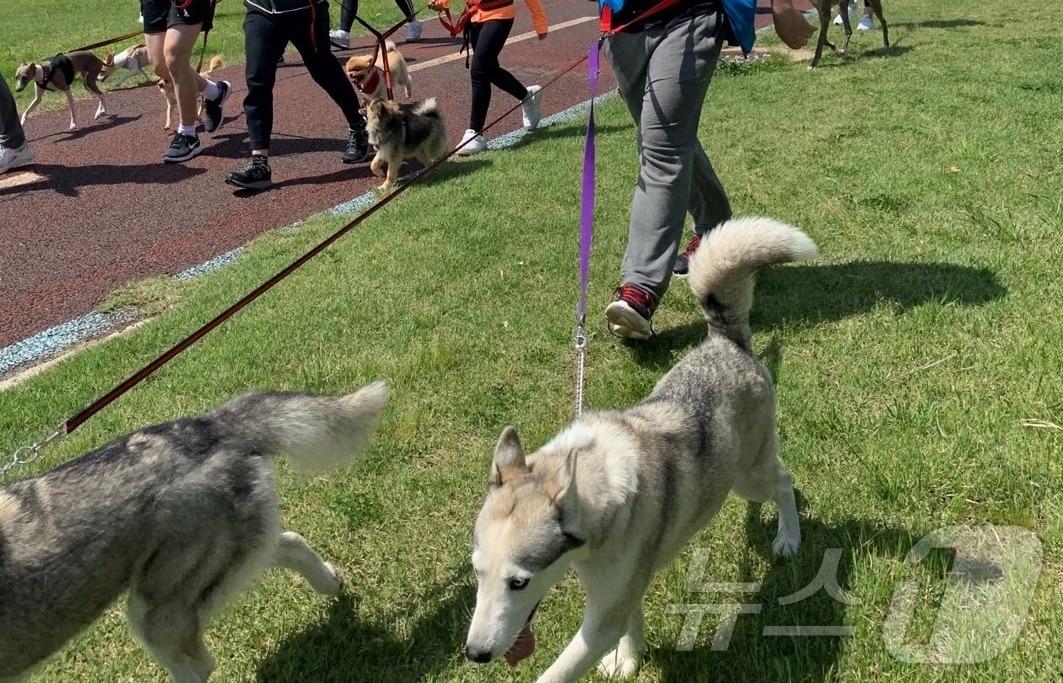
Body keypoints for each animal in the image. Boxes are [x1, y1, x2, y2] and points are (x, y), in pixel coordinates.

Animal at [0, 382, 391, 679]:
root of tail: (209, 426)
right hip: (218, 563)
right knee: (288, 542)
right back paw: (330, 582)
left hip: (155, 612)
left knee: (200, 666)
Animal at [461, 217, 816, 679]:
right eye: (477, 571)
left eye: (518, 582)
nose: (474, 653)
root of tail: (725, 339)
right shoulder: (619, 590)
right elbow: (632, 620)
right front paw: (631, 660)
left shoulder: (603, 616)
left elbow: (559, 670)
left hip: (747, 476)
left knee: (784, 481)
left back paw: (788, 538)